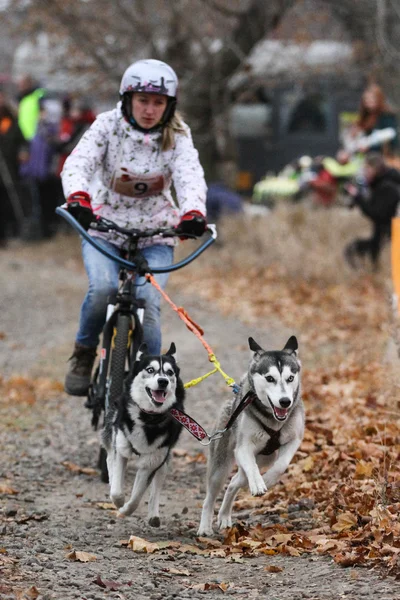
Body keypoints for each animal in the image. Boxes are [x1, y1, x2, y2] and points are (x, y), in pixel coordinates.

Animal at [102, 342, 185, 524]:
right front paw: (118, 503)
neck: (148, 417)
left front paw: (125, 510)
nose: (163, 381)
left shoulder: (152, 462)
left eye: (170, 372)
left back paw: (153, 515)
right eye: (150, 369)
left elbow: (136, 497)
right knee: (109, 457)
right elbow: (117, 490)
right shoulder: (122, 448)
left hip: (164, 460)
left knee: (156, 487)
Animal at [198, 336, 304, 536]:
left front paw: (268, 479)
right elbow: (252, 469)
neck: (272, 419)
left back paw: (224, 516)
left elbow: (281, 465)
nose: (285, 401)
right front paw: (258, 483)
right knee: (211, 496)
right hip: (220, 466)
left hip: (264, 459)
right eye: (270, 378)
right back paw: (205, 527)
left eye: (290, 378)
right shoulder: (243, 448)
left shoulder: (294, 440)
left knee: (234, 482)